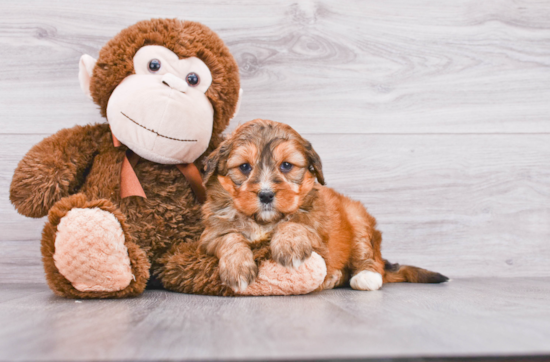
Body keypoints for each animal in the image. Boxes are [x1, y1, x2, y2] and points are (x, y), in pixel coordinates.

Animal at [201, 120, 450, 292]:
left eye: (286, 166)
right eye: (244, 167)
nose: (266, 195)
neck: (263, 221)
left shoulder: (320, 232)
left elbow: (297, 222)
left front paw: (289, 246)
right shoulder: (210, 235)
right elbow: (230, 237)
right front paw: (238, 269)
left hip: (359, 221)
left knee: (367, 255)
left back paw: (365, 277)